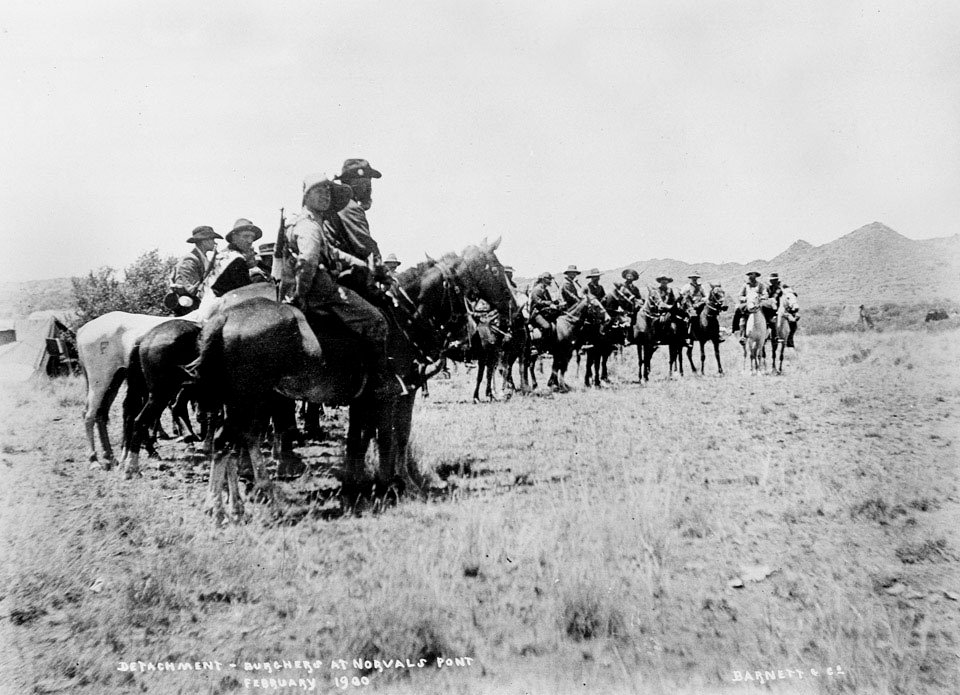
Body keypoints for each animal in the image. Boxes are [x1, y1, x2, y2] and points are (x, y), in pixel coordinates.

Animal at [189, 241, 516, 520]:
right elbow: (392, 437)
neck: (404, 316)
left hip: (242, 400)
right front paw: (396, 484)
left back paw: (236, 504)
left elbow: (363, 438)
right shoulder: (396, 394)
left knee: (234, 441)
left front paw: (363, 485)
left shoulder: (369, 399)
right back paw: (228, 505)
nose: (513, 309)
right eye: (496, 269)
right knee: (230, 441)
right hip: (249, 398)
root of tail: (223, 317)